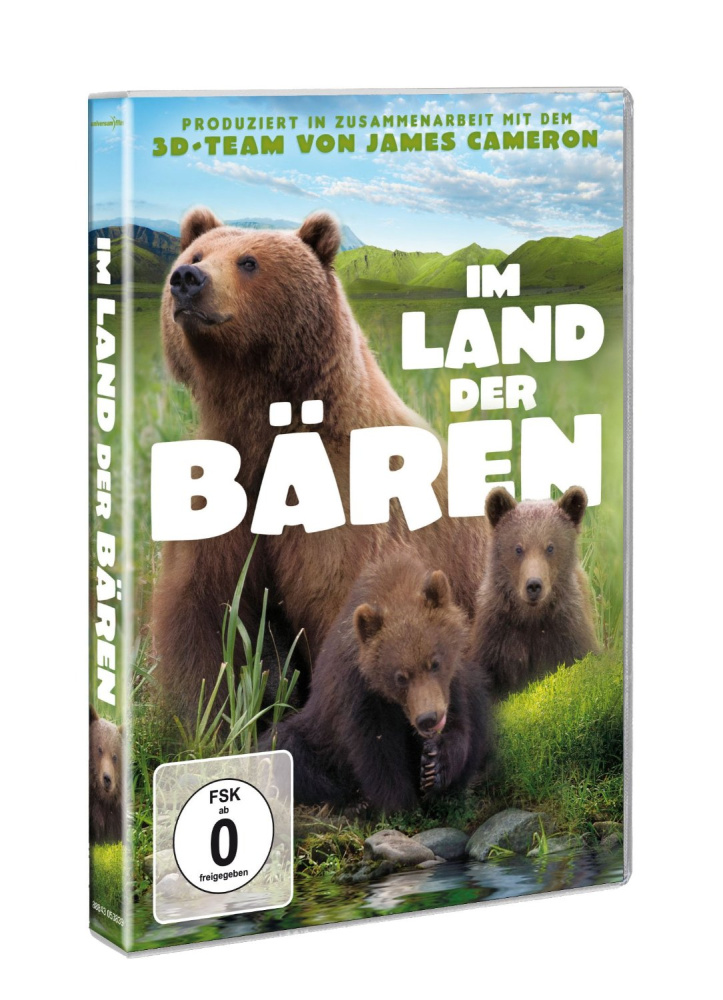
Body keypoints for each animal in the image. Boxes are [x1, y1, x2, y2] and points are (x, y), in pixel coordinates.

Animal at [153, 208, 487, 720]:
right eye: (197, 253)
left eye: (249, 262)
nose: (186, 279)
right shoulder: (222, 492)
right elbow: (204, 613)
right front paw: (210, 718)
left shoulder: (346, 504)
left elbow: (345, 609)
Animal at [263, 550, 491, 814]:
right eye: (400, 677)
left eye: (434, 663)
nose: (428, 718)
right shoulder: (361, 694)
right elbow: (376, 751)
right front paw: (400, 804)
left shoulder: (453, 684)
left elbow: (461, 726)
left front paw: (433, 766)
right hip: (316, 731)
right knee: (286, 748)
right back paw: (355, 801)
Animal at [471, 486, 600, 698]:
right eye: (518, 548)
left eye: (550, 547)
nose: (533, 585)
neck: (531, 618)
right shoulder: (496, 639)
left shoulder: (568, 632)